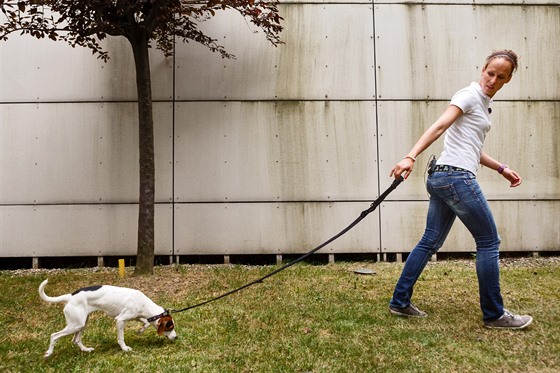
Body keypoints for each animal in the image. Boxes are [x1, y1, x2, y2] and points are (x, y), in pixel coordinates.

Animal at [39, 278, 176, 356]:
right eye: (170, 327)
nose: (176, 337)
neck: (144, 303)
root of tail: (70, 296)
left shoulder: (137, 316)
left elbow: (146, 322)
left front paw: (140, 330)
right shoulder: (120, 320)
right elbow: (121, 338)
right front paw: (125, 348)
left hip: (82, 323)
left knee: (76, 340)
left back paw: (86, 350)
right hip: (75, 325)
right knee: (54, 336)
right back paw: (49, 353)